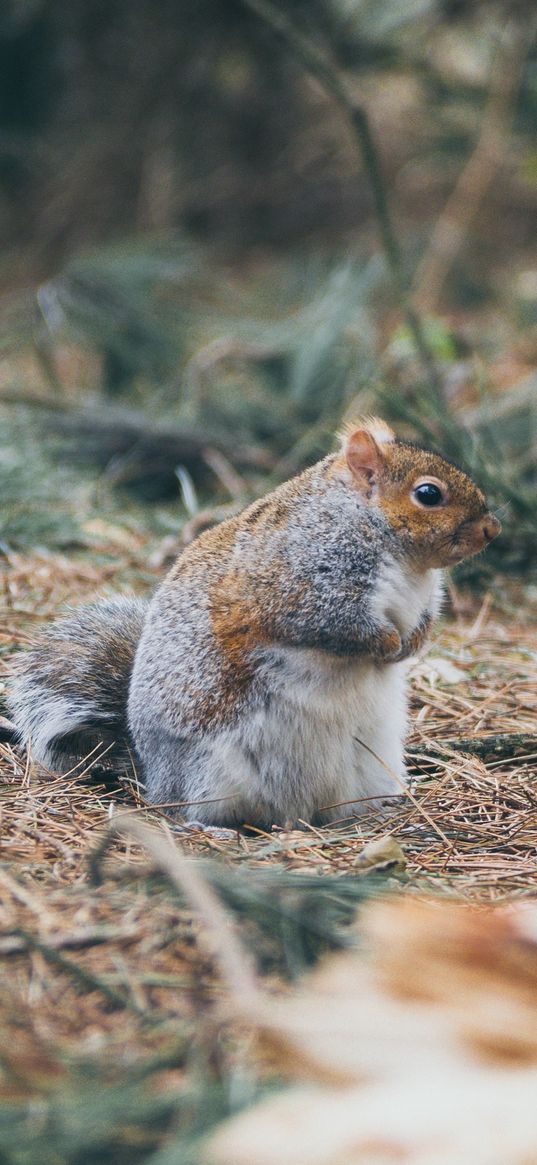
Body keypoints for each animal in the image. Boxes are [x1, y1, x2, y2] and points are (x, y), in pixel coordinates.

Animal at [8, 419, 500, 829]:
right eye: (429, 494)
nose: (492, 530)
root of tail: (151, 772)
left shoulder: (424, 599)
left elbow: (424, 621)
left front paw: (411, 644)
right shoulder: (299, 585)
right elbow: (337, 625)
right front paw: (386, 643)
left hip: (370, 765)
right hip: (209, 772)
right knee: (188, 809)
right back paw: (207, 826)